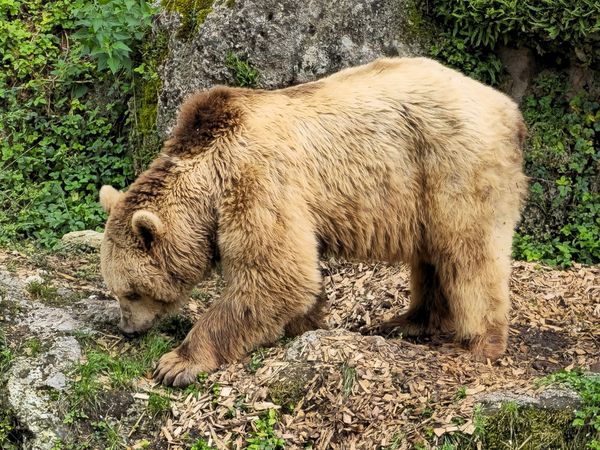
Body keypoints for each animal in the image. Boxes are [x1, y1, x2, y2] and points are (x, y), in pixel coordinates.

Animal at [101, 56, 528, 386]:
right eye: (117, 290)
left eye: (131, 292)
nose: (127, 328)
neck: (210, 173)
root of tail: (508, 109)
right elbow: (294, 278)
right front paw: (305, 324)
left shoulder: (258, 183)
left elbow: (276, 273)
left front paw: (176, 363)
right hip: (423, 190)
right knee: (432, 256)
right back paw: (408, 321)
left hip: (452, 164)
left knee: (469, 252)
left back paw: (480, 343)